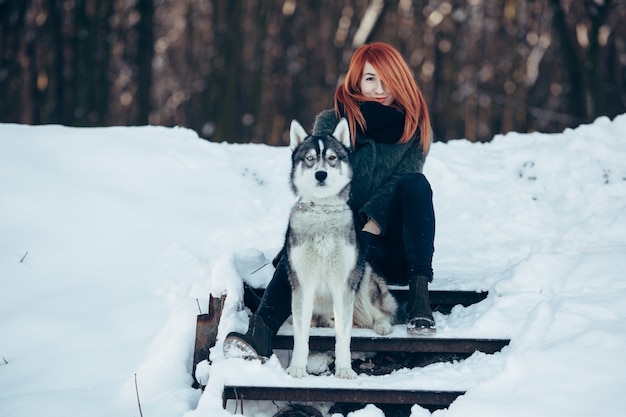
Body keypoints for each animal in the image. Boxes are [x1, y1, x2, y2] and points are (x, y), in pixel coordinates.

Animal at [282, 118, 394, 378]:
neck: (323, 212)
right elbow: (301, 335)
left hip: (363, 281)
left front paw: (344, 369)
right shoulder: (302, 285)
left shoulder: (343, 286)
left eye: (332, 158)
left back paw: (382, 325)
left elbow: (344, 335)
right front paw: (298, 368)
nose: (321, 174)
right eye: (310, 158)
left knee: (383, 313)